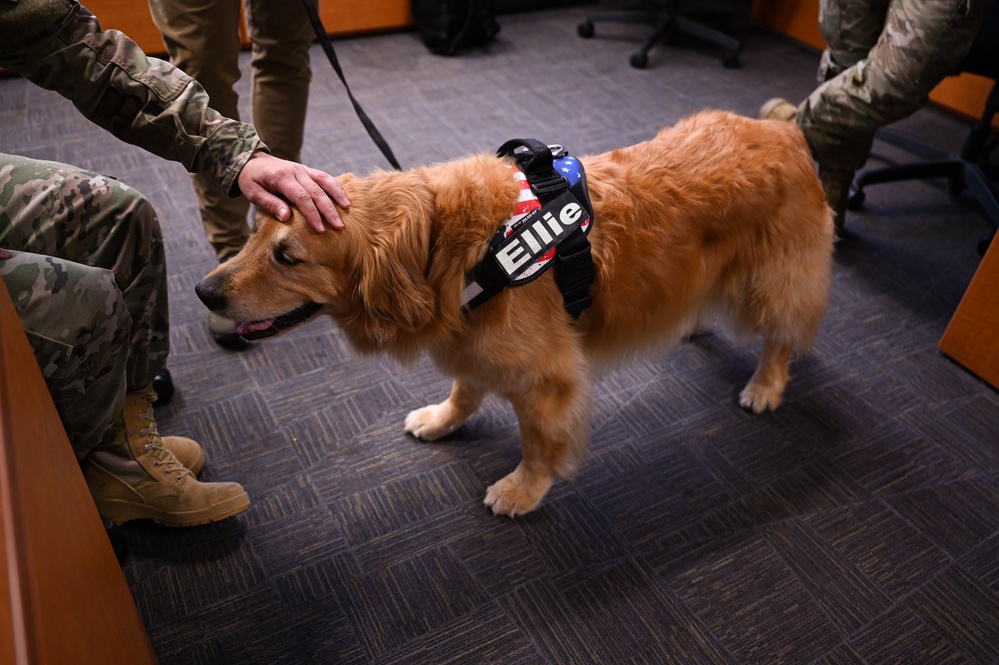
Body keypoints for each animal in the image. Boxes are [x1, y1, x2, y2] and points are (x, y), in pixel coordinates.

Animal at [195, 109, 836, 516]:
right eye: (256, 233)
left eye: (288, 256)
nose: (204, 292)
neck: (449, 252)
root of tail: (784, 128)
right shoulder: (469, 342)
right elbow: (464, 389)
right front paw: (442, 420)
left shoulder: (547, 380)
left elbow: (539, 443)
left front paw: (524, 490)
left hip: (775, 281)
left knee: (781, 335)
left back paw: (767, 384)